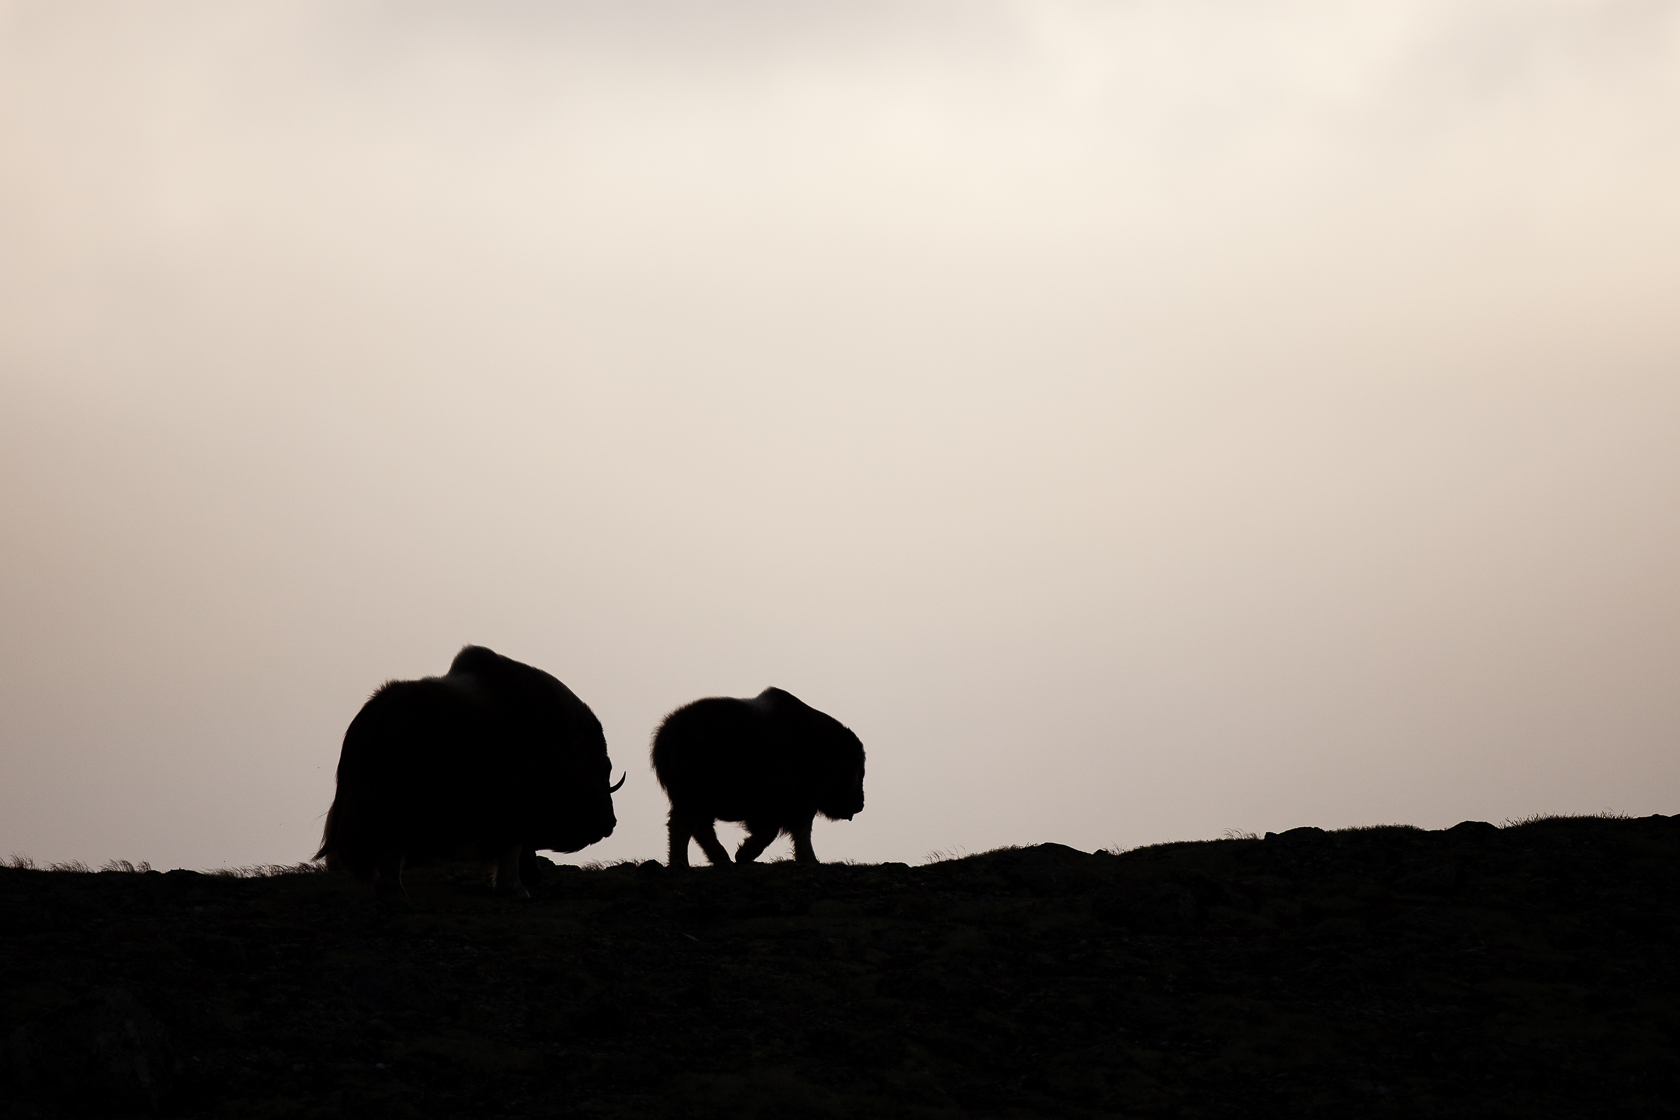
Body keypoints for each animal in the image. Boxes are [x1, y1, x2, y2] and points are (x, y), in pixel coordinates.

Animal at [312, 644, 621, 900]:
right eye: (603, 771)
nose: (611, 823)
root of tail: (375, 717)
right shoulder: (519, 811)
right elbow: (511, 850)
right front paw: (517, 889)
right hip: (403, 807)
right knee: (393, 845)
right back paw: (395, 889)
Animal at [648, 688, 866, 873]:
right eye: (859, 771)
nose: (861, 803)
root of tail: (667, 733)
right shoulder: (795, 803)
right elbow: (793, 832)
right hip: (694, 796)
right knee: (682, 825)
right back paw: (681, 863)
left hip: (699, 801)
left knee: (700, 827)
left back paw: (722, 859)